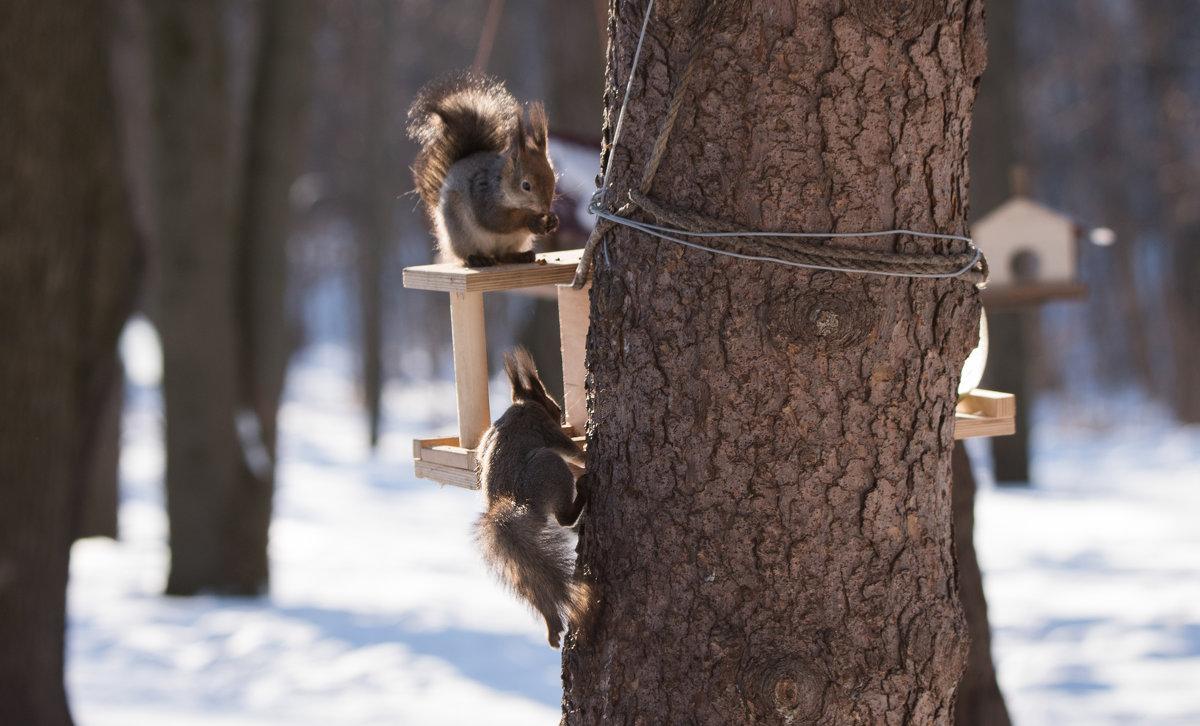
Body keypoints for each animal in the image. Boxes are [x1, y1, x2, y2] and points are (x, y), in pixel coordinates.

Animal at [408, 72, 556, 266]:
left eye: (553, 179)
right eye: (526, 185)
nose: (545, 209)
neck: (501, 183)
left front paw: (553, 220)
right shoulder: (483, 196)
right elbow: (498, 220)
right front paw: (531, 220)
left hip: (513, 242)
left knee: (502, 255)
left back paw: (520, 256)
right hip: (461, 235)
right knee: (468, 255)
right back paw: (478, 259)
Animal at [475, 345, 592, 643]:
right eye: (556, 407)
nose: (561, 416)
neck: (520, 406)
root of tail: (519, 506)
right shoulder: (545, 429)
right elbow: (572, 451)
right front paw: (586, 451)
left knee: (528, 580)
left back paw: (552, 626)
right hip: (548, 465)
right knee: (563, 518)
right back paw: (583, 489)